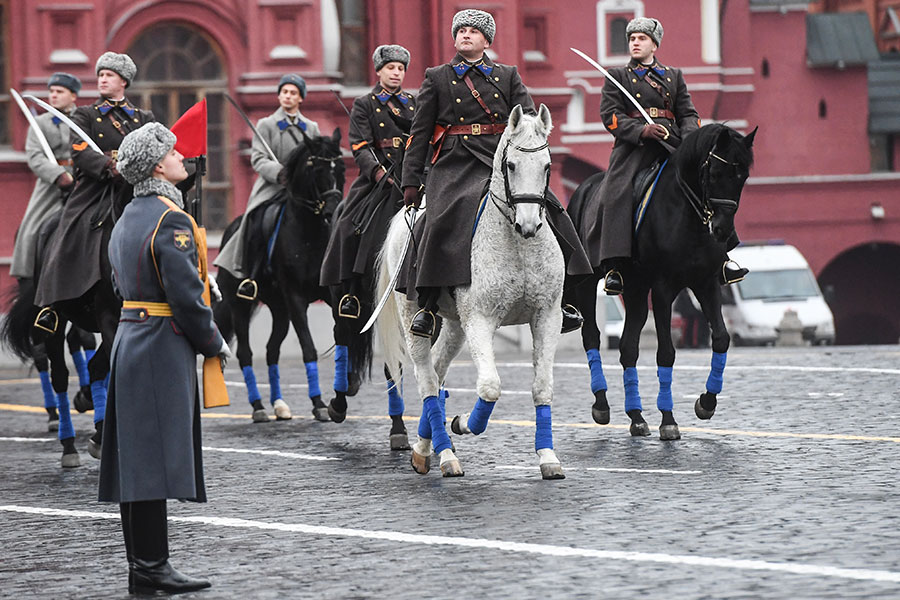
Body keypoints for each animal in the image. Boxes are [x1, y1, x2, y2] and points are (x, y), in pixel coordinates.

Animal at [214, 130, 344, 422]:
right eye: (318, 170)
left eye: (341, 168)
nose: (333, 211)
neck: (310, 233)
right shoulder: (295, 298)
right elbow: (308, 347)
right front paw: (318, 403)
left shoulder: (327, 296)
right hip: (240, 305)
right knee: (246, 353)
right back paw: (258, 406)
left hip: (279, 309)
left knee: (272, 351)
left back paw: (279, 405)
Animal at [376, 102, 568, 478]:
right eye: (511, 165)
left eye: (547, 165)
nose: (528, 225)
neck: (518, 248)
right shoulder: (480, 319)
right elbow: (490, 387)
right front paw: (464, 422)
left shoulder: (547, 316)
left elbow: (542, 387)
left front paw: (548, 456)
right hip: (415, 319)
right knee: (427, 380)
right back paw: (445, 454)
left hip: (454, 325)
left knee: (438, 371)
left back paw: (425, 448)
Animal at [568, 123, 752, 440]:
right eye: (715, 173)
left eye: (743, 177)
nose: (723, 230)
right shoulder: (664, 289)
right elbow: (666, 352)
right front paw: (668, 420)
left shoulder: (706, 284)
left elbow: (721, 338)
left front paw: (707, 402)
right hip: (587, 283)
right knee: (591, 336)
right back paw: (602, 403)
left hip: (636, 288)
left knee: (628, 347)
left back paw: (636, 416)